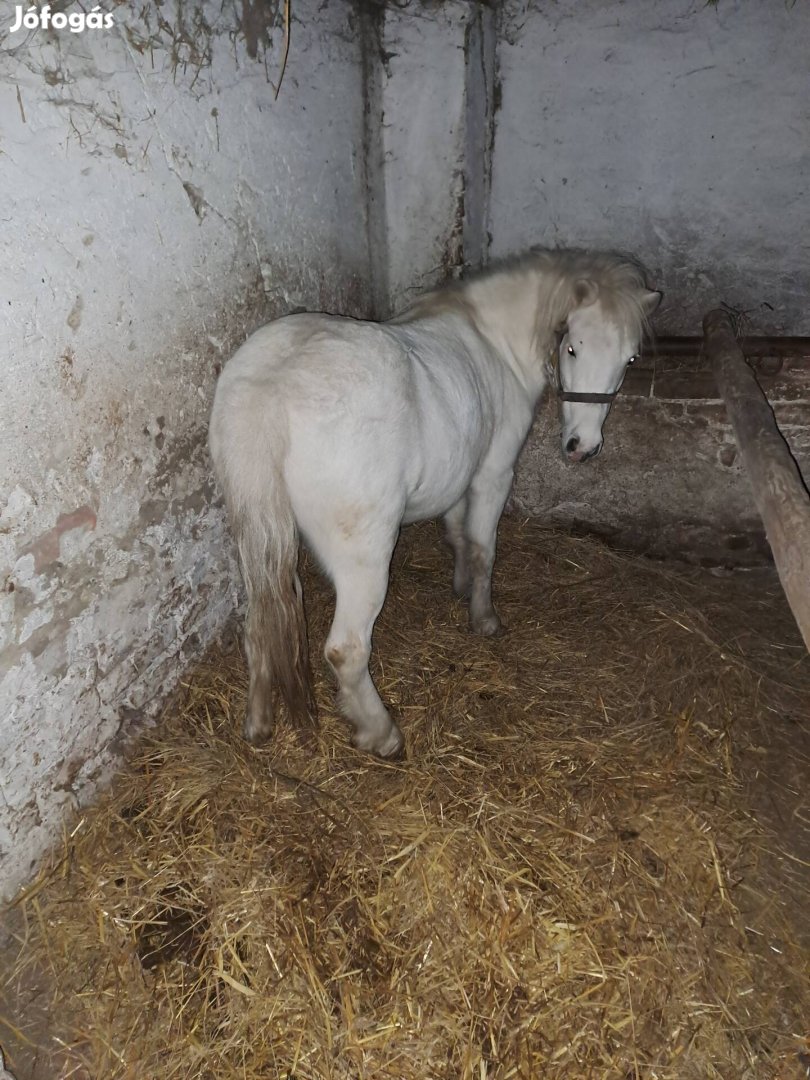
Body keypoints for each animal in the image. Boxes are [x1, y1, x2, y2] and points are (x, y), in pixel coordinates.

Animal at [207, 252, 660, 760]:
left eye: (630, 358)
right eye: (573, 349)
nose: (583, 447)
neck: (493, 339)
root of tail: (272, 386)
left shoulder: (459, 477)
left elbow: (457, 533)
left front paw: (460, 585)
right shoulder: (492, 475)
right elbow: (483, 549)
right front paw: (484, 618)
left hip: (263, 545)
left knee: (259, 626)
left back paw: (258, 722)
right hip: (364, 557)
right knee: (346, 650)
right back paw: (381, 733)